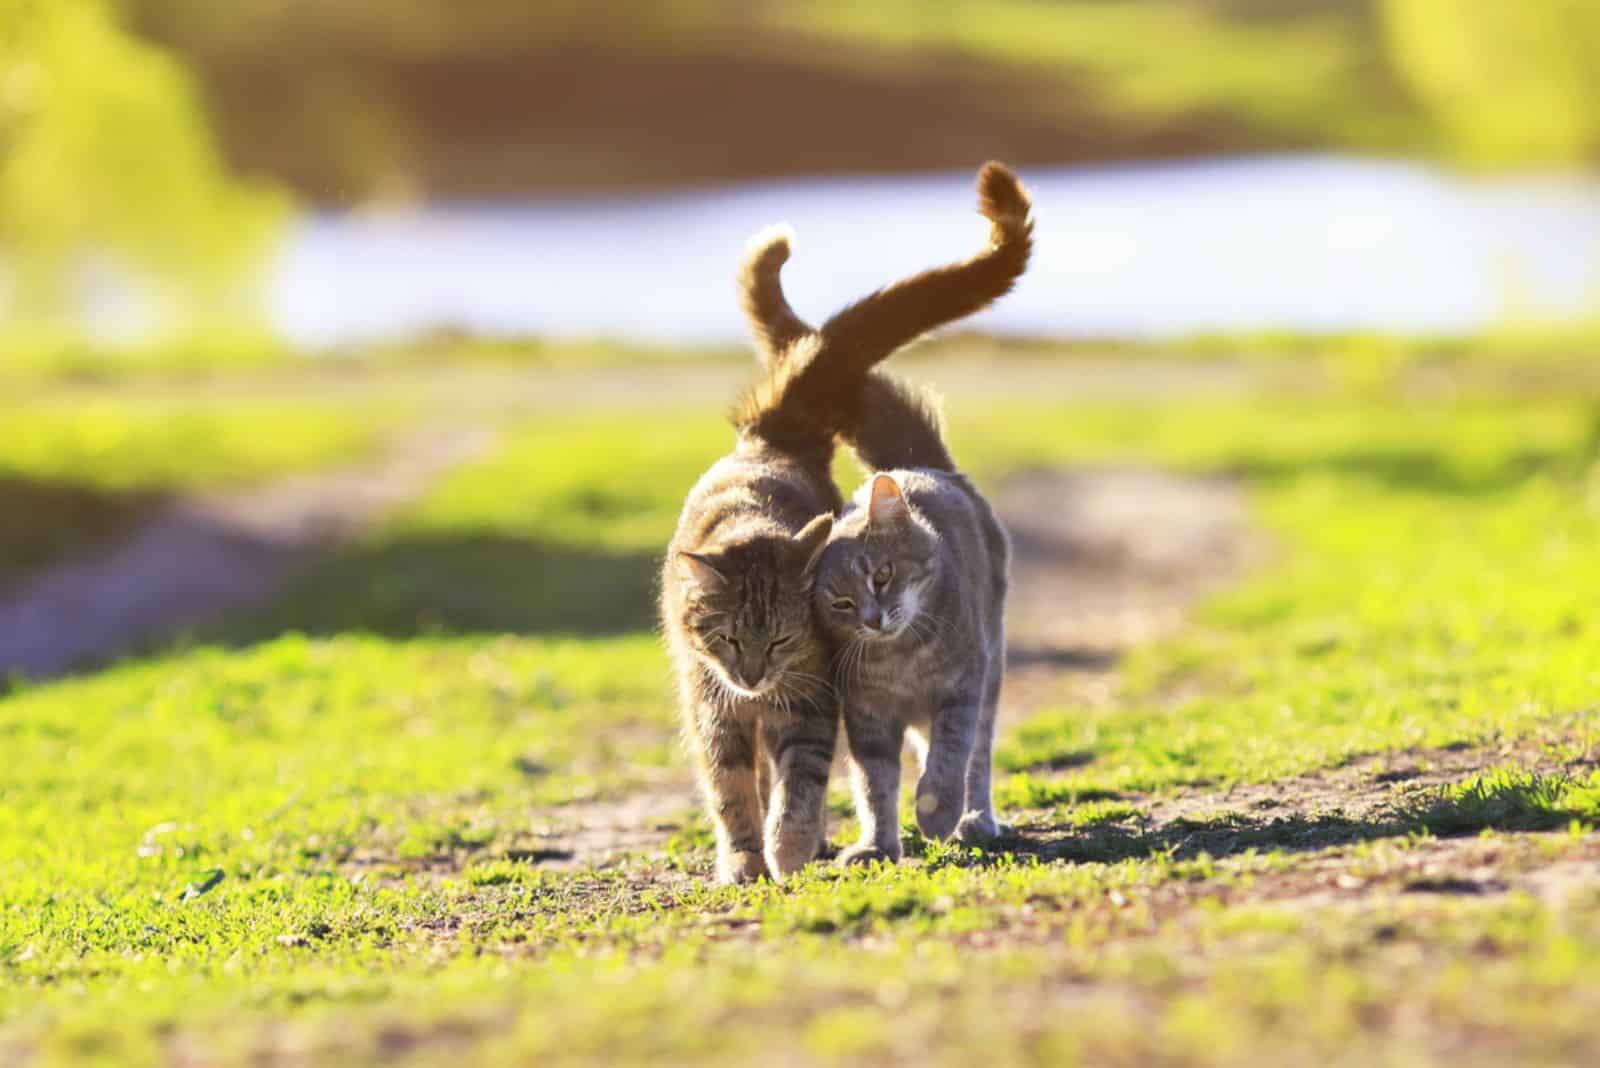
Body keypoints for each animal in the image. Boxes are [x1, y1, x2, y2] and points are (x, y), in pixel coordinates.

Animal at [659, 164, 1024, 882]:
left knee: (975, 756)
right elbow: (735, 793)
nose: (752, 676)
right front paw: (745, 859)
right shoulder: (725, 711)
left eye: (778, 640)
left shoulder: (822, 703)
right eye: (728, 637)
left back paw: (968, 818)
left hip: (986, 662)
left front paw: (792, 845)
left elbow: (823, 781)